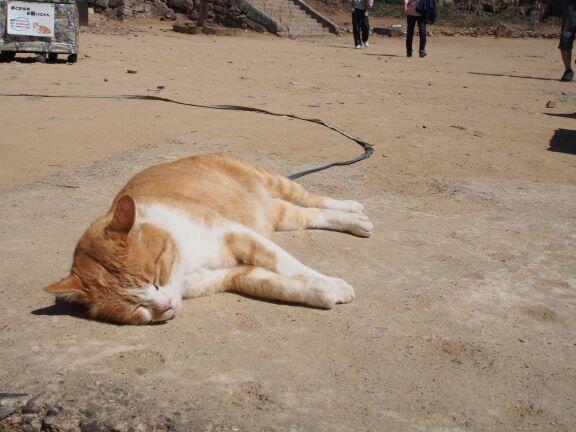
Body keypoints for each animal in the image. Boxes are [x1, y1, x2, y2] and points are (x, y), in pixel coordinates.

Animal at [42, 152, 372, 324]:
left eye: (156, 279)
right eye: (134, 307)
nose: (164, 308)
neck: (185, 263)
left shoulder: (240, 236)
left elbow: (291, 266)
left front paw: (332, 283)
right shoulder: (235, 275)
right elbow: (279, 284)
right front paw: (323, 291)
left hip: (275, 184)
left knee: (314, 199)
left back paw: (354, 212)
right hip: (279, 215)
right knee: (309, 214)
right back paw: (353, 220)